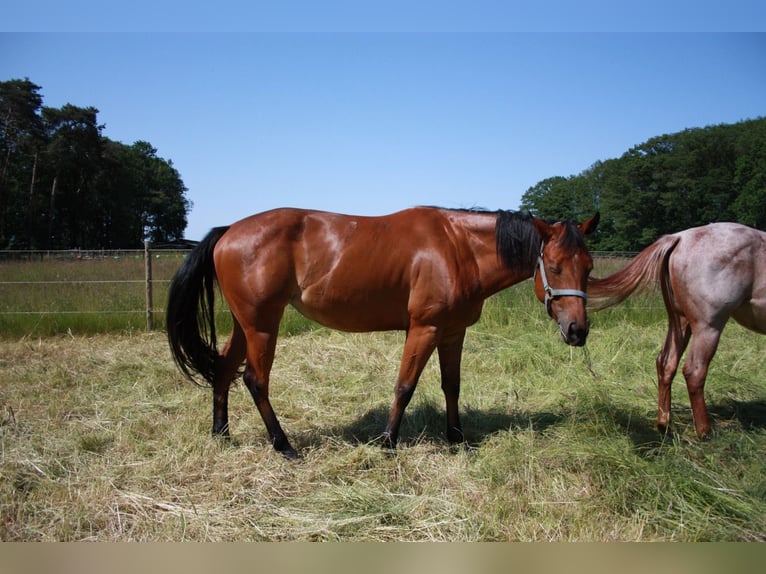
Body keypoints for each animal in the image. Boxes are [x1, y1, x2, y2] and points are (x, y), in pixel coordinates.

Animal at [166, 207, 600, 460]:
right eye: (555, 266)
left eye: (589, 266)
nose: (577, 330)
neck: (457, 246)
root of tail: (228, 231)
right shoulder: (424, 329)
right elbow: (405, 386)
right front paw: (388, 442)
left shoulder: (452, 332)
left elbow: (452, 386)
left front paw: (456, 438)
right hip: (262, 326)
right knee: (255, 380)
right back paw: (284, 445)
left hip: (246, 324)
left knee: (224, 370)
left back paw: (221, 434)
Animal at [592, 223, 764, 438]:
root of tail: (679, 238)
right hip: (708, 327)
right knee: (694, 372)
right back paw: (704, 433)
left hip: (680, 322)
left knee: (666, 363)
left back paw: (664, 425)